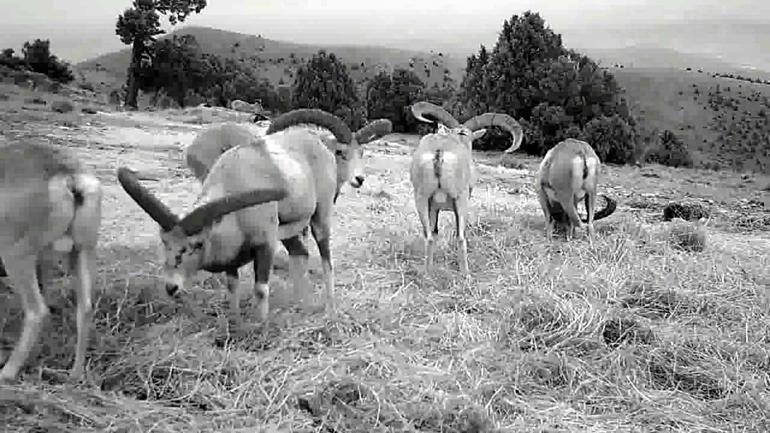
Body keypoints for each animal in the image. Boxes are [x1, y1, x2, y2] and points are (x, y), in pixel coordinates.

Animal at [0, 142, 102, 382]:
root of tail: (69, 177)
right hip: (81, 253)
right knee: (85, 309)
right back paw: (74, 375)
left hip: (16, 256)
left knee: (37, 311)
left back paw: (7, 372)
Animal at [121, 109, 390, 328]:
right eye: (164, 242)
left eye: (197, 244)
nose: (171, 287)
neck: (233, 179)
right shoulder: (231, 256)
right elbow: (232, 286)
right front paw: (236, 323)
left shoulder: (265, 245)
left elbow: (261, 290)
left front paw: (261, 328)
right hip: (289, 230)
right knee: (301, 253)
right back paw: (301, 304)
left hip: (319, 219)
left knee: (325, 259)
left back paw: (329, 308)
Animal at [408, 101, 520, 274]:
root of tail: (439, 152)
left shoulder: (434, 207)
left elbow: (434, 232)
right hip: (460, 200)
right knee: (461, 237)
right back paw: (466, 274)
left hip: (421, 199)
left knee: (429, 237)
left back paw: (428, 273)